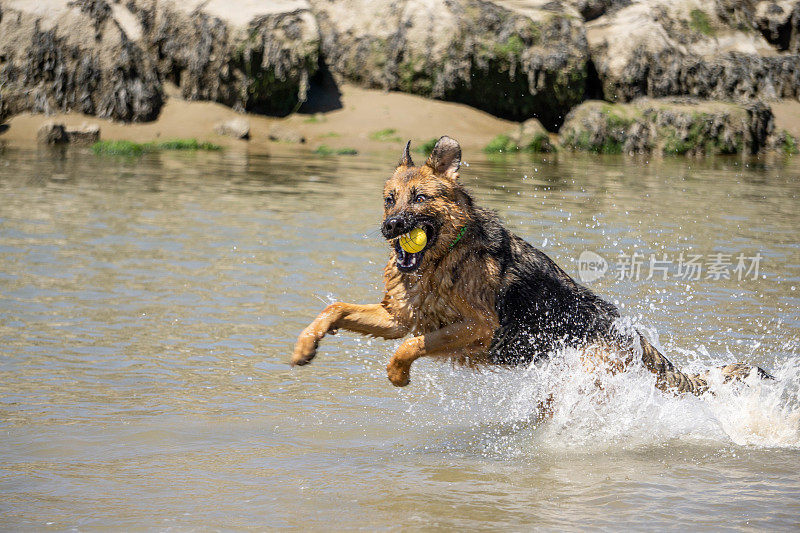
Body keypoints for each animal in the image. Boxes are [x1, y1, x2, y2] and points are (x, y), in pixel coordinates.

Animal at [292, 136, 768, 394]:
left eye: (420, 199)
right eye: (390, 199)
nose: (391, 227)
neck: (444, 256)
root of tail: (632, 336)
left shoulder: (476, 327)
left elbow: (409, 346)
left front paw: (398, 374)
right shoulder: (397, 317)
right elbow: (334, 309)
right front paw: (304, 346)